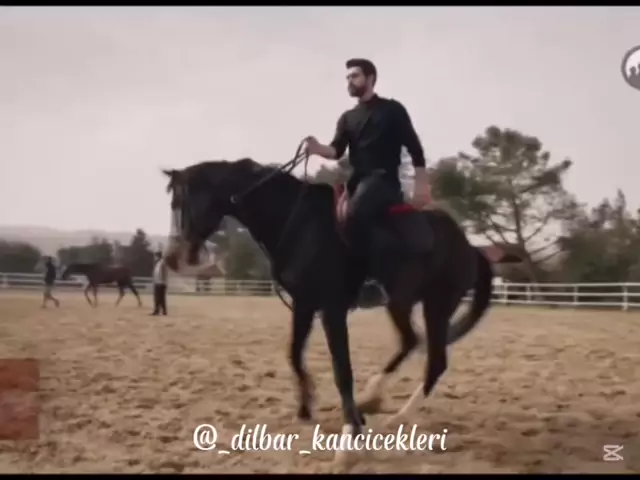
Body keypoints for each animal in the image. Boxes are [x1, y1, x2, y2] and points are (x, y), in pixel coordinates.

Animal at [161, 157, 494, 469]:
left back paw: (398, 418)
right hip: (400, 302)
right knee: (410, 341)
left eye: (181, 203)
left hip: (437, 305)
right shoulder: (303, 304)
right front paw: (307, 405)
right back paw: (372, 398)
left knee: (435, 361)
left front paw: (349, 442)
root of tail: (470, 247)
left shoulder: (332, 310)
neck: (296, 222)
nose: (174, 259)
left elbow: (341, 371)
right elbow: (294, 353)